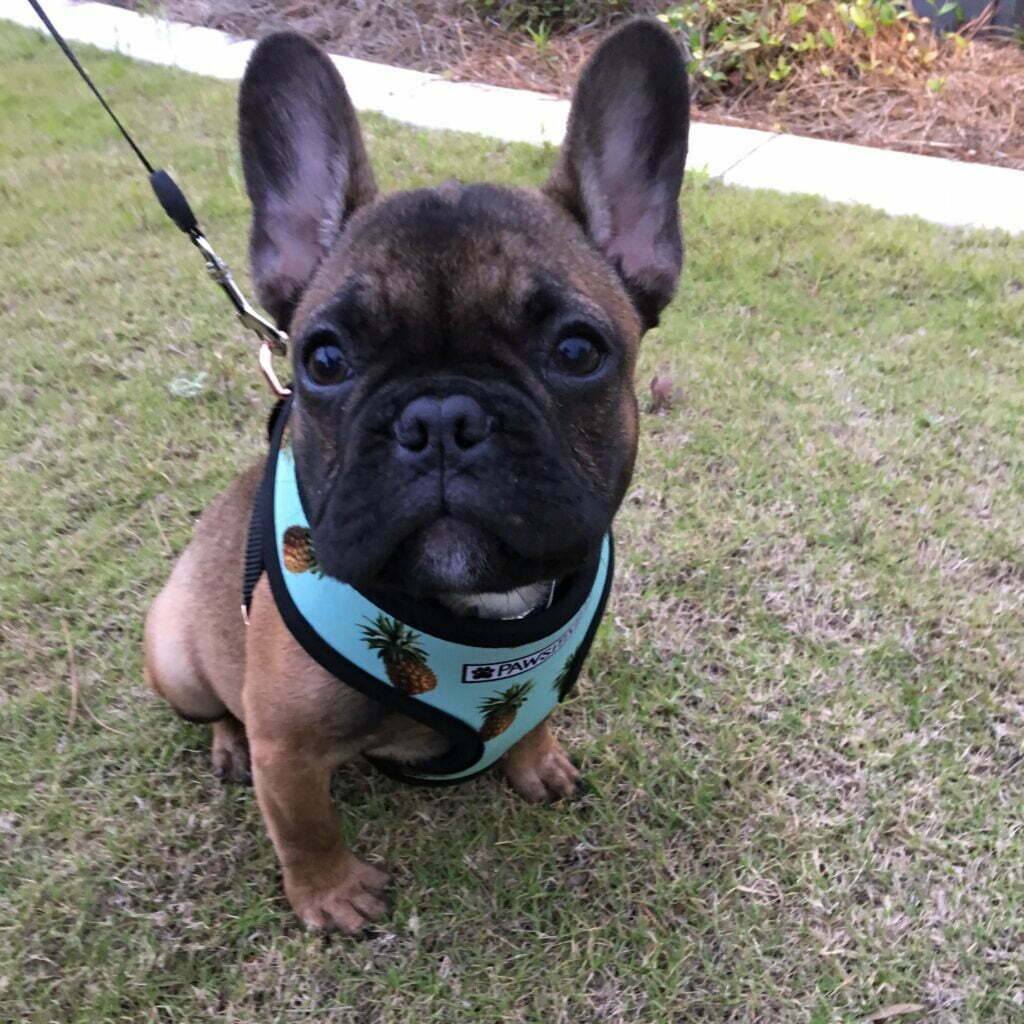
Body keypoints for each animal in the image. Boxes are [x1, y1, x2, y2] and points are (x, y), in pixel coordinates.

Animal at [144, 19, 688, 933]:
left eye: (577, 351)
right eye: (324, 360)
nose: (440, 419)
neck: (477, 612)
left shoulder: (536, 687)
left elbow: (530, 719)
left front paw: (537, 762)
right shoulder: (289, 746)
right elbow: (304, 822)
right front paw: (331, 895)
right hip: (175, 657)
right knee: (216, 708)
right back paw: (226, 742)